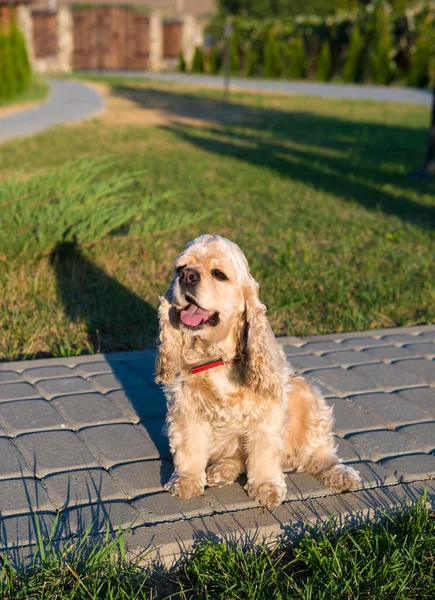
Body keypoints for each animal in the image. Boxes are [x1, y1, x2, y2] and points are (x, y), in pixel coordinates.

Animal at [155, 234, 362, 506]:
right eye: (180, 268)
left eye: (219, 274)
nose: (187, 276)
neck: (217, 357)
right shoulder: (185, 405)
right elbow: (190, 446)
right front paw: (186, 481)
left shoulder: (268, 406)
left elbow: (264, 451)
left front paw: (266, 486)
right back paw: (222, 470)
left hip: (305, 392)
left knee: (318, 453)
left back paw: (340, 473)